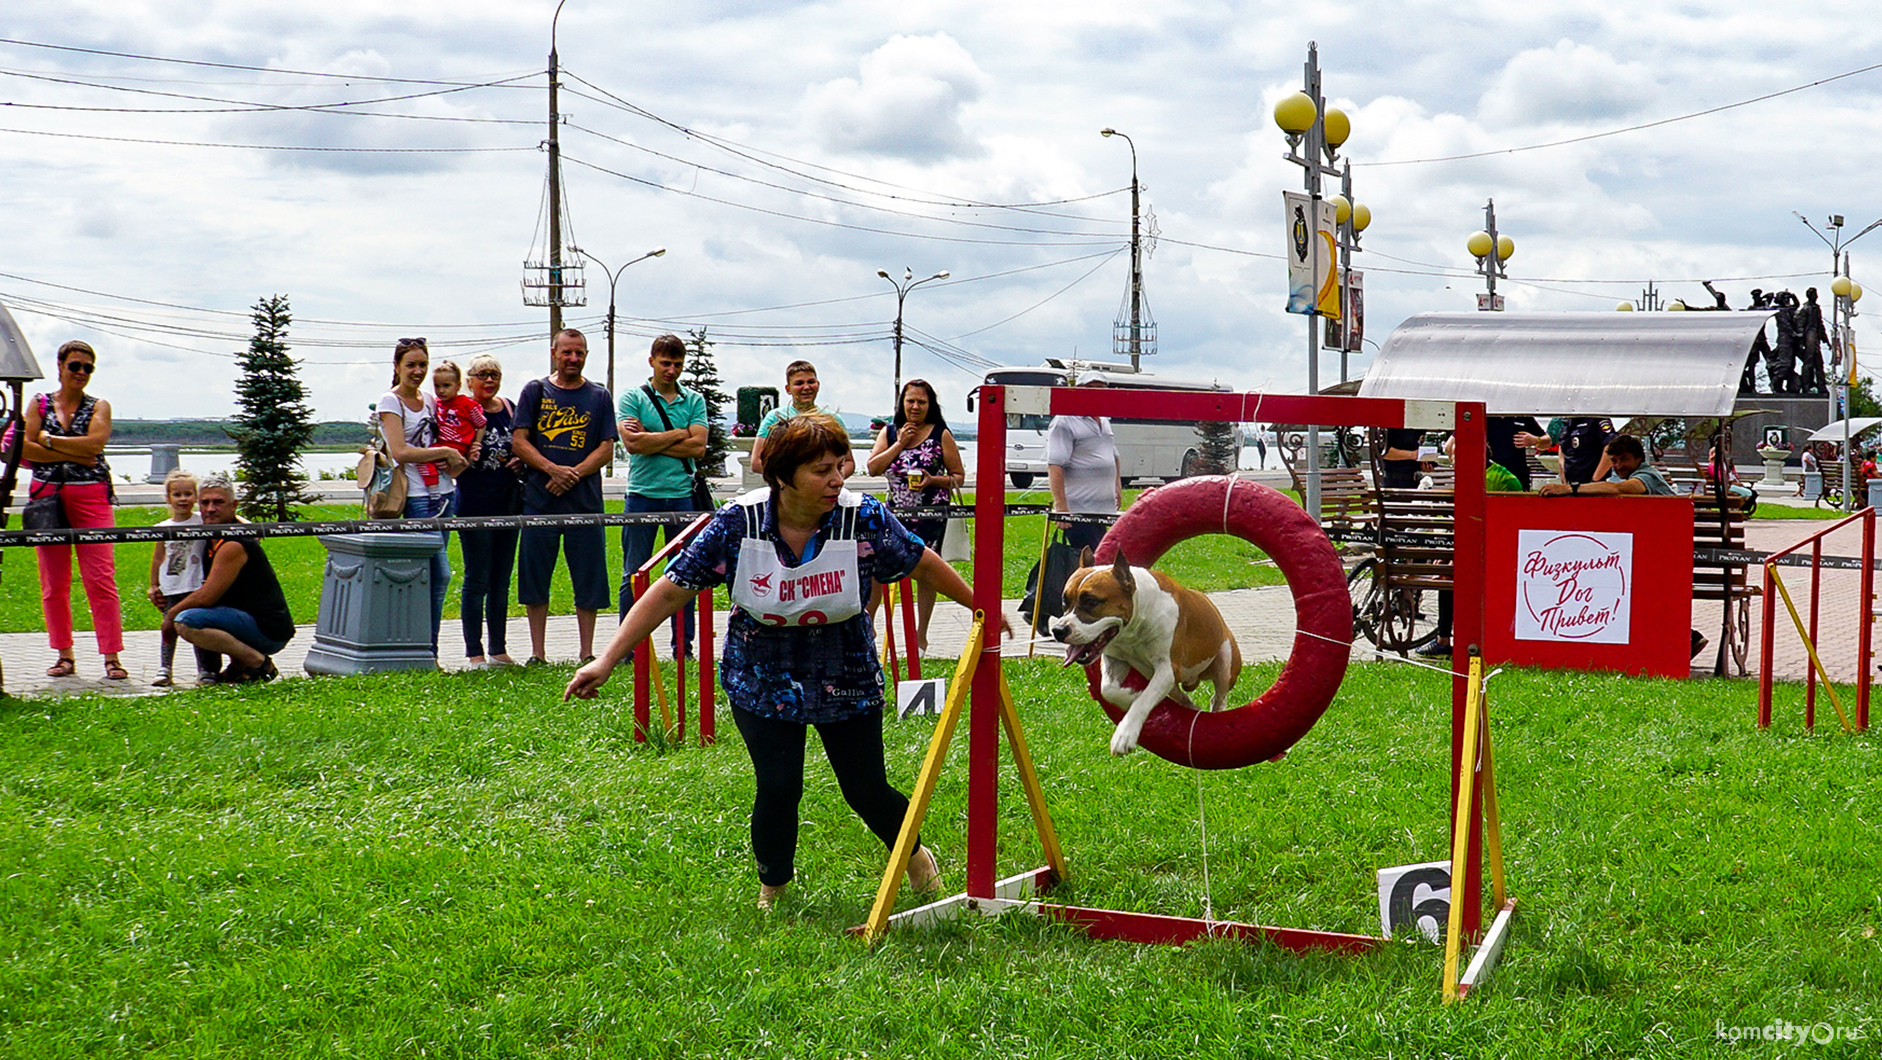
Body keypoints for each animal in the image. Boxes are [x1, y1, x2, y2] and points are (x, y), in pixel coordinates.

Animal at [1053, 546, 1242, 753]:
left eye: (1091, 602)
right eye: (1064, 601)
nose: (1058, 630)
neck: (1133, 628)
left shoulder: (1167, 669)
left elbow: (1144, 700)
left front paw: (1124, 734)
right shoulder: (1115, 659)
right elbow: (1108, 689)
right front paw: (1131, 695)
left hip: (1226, 661)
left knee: (1219, 695)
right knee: (1182, 697)